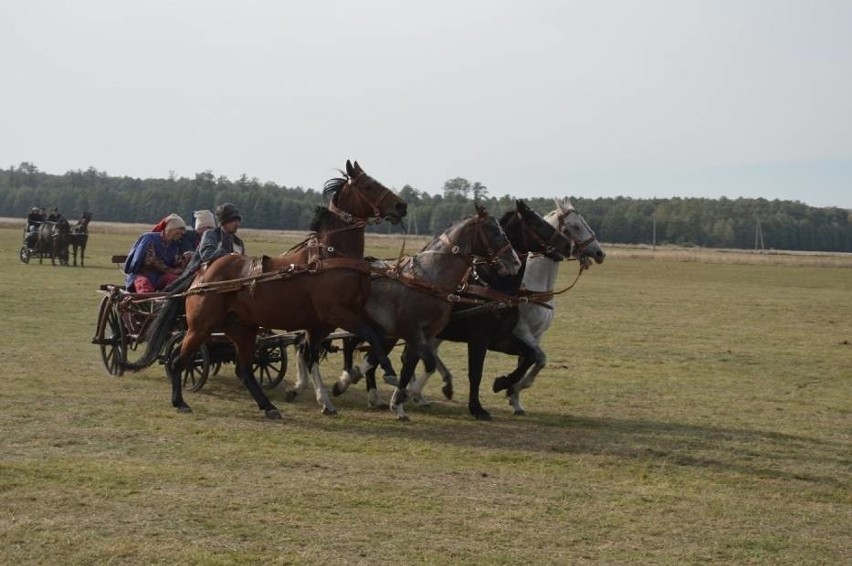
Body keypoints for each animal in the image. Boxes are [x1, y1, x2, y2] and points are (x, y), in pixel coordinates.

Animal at [120, 162, 410, 420]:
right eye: (368, 185)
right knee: (178, 361)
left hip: (242, 329)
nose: (401, 206)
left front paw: (342, 385)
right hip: (200, 327)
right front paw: (385, 373)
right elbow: (370, 337)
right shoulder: (337, 314)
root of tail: (203, 272)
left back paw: (269, 406)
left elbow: (369, 337)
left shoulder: (326, 323)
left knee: (244, 370)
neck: (331, 256)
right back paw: (180, 401)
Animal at [408, 200, 604, 418]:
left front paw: (513, 394)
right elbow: (531, 359)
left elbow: (533, 359)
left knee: (430, 353)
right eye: (575, 226)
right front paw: (506, 392)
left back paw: (431, 389)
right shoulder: (508, 333)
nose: (599, 253)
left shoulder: (522, 336)